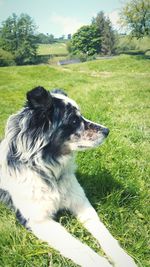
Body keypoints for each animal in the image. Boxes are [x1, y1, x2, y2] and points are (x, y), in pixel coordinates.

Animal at [0, 87, 137, 266]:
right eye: (73, 120)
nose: (107, 131)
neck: (51, 172)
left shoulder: (81, 202)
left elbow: (104, 233)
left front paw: (124, 259)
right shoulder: (38, 220)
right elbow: (81, 248)